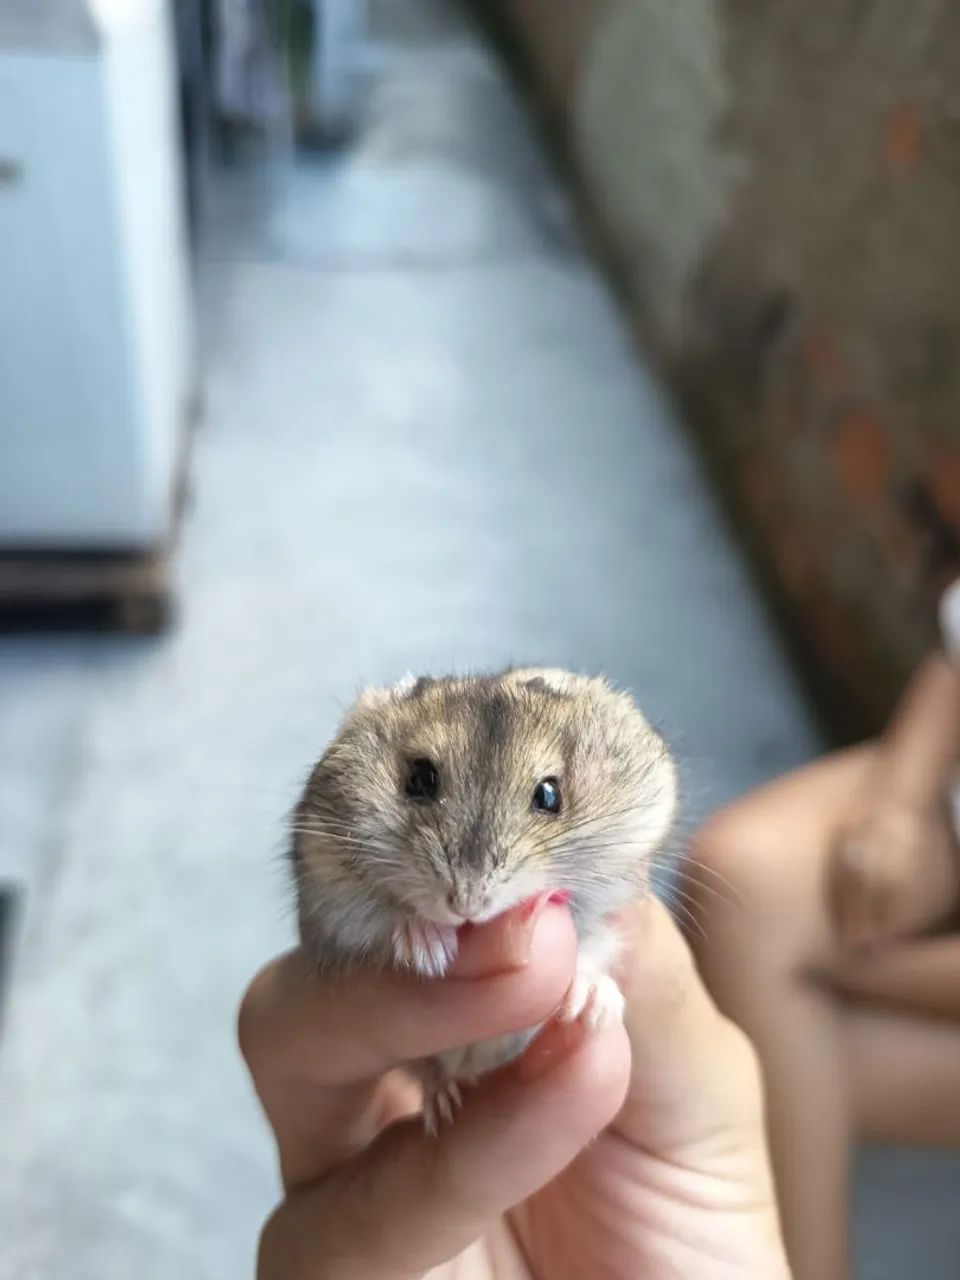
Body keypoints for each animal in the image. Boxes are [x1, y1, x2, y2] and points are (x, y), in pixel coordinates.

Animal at [291, 667, 677, 1130]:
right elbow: (378, 916)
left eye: (549, 795)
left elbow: (594, 947)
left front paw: (591, 1005)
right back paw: (442, 1103)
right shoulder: (325, 884)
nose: (466, 907)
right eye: (420, 779)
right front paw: (429, 946)